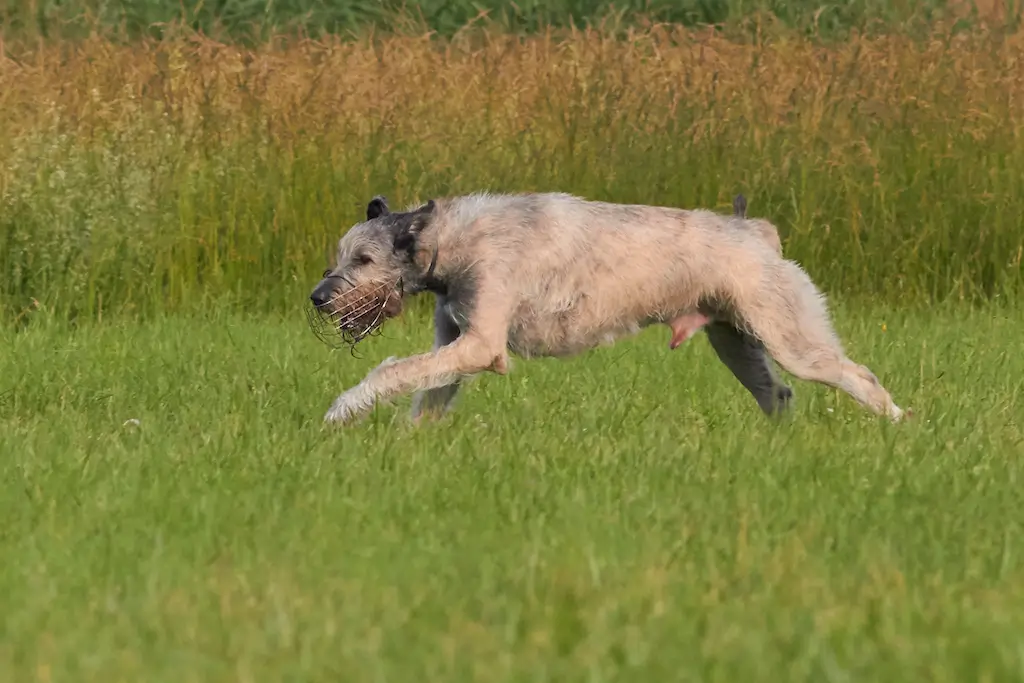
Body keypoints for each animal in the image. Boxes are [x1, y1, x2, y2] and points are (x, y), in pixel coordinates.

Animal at [305, 193, 905, 428]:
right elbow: (427, 392)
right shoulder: (452, 341)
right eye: (340, 253)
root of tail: (756, 231)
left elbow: (393, 371)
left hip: (791, 336)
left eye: (363, 259)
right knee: (777, 393)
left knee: (860, 377)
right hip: (736, 342)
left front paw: (342, 410)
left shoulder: (479, 343)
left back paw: (901, 428)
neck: (447, 239)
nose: (317, 297)